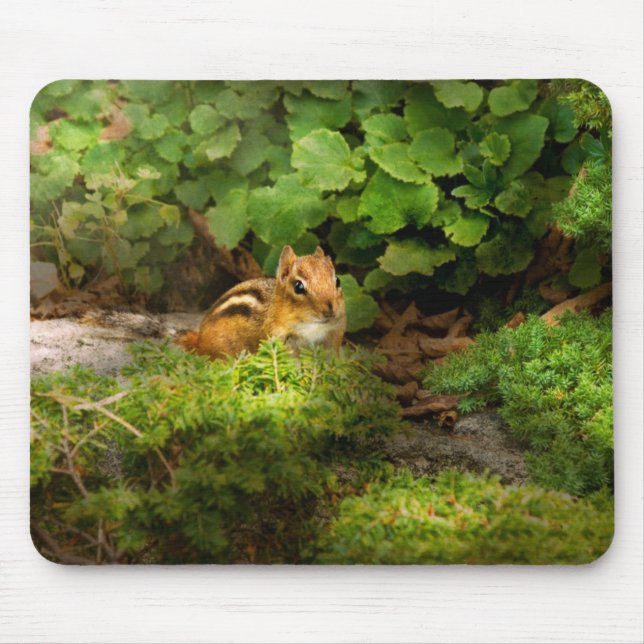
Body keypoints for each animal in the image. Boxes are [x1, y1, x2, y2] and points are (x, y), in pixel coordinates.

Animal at [178, 245, 346, 359]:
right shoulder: (280, 340)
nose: (330, 310)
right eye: (298, 286)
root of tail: (199, 339)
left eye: (338, 280)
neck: (311, 328)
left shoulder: (332, 339)